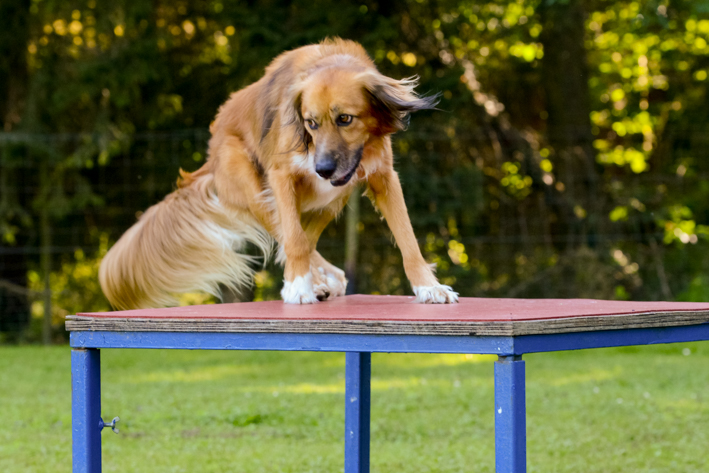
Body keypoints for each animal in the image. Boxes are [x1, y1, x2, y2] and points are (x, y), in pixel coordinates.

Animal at [98, 38, 460, 308]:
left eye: (345, 119)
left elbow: (408, 239)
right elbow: (295, 240)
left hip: (334, 195)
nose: (322, 169)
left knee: (305, 235)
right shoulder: (282, 177)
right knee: (289, 235)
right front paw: (299, 287)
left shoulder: (383, 178)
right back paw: (313, 280)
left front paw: (428, 287)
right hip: (254, 187)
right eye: (311, 123)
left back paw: (324, 279)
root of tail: (210, 154)